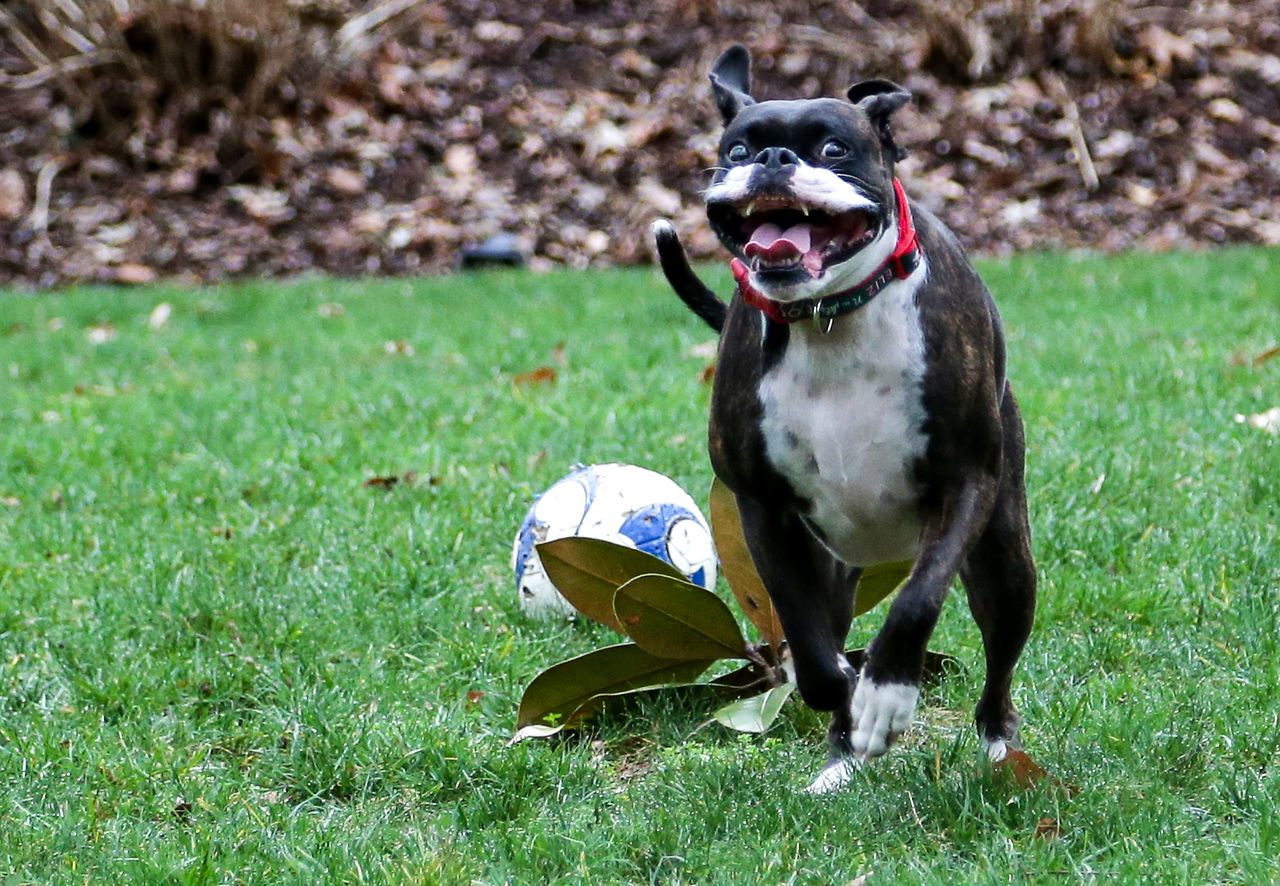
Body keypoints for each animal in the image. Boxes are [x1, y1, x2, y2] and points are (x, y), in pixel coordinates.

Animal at [655, 45, 1034, 793]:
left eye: (833, 148)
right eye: (735, 149)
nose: (772, 156)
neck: (829, 316)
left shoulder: (966, 484)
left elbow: (916, 603)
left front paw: (887, 693)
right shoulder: (765, 513)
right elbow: (810, 651)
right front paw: (847, 697)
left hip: (1006, 560)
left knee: (998, 668)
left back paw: (999, 751)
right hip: (832, 563)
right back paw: (840, 760)